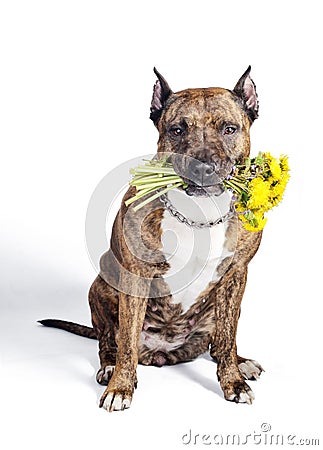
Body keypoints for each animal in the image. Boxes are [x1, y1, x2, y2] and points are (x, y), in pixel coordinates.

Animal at [39, 67, 264, 412]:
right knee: (110, 341)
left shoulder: (236, 275)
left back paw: (242, 362)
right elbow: (127, 340)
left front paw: (233, 381)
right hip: (101, 286)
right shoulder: (136, 276)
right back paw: (109, 367)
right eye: (176, 129)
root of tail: (163, 352)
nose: (203, 166)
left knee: (218, 343)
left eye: (229, 129)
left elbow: (227, 337)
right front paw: (120, 387)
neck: (198, 212)